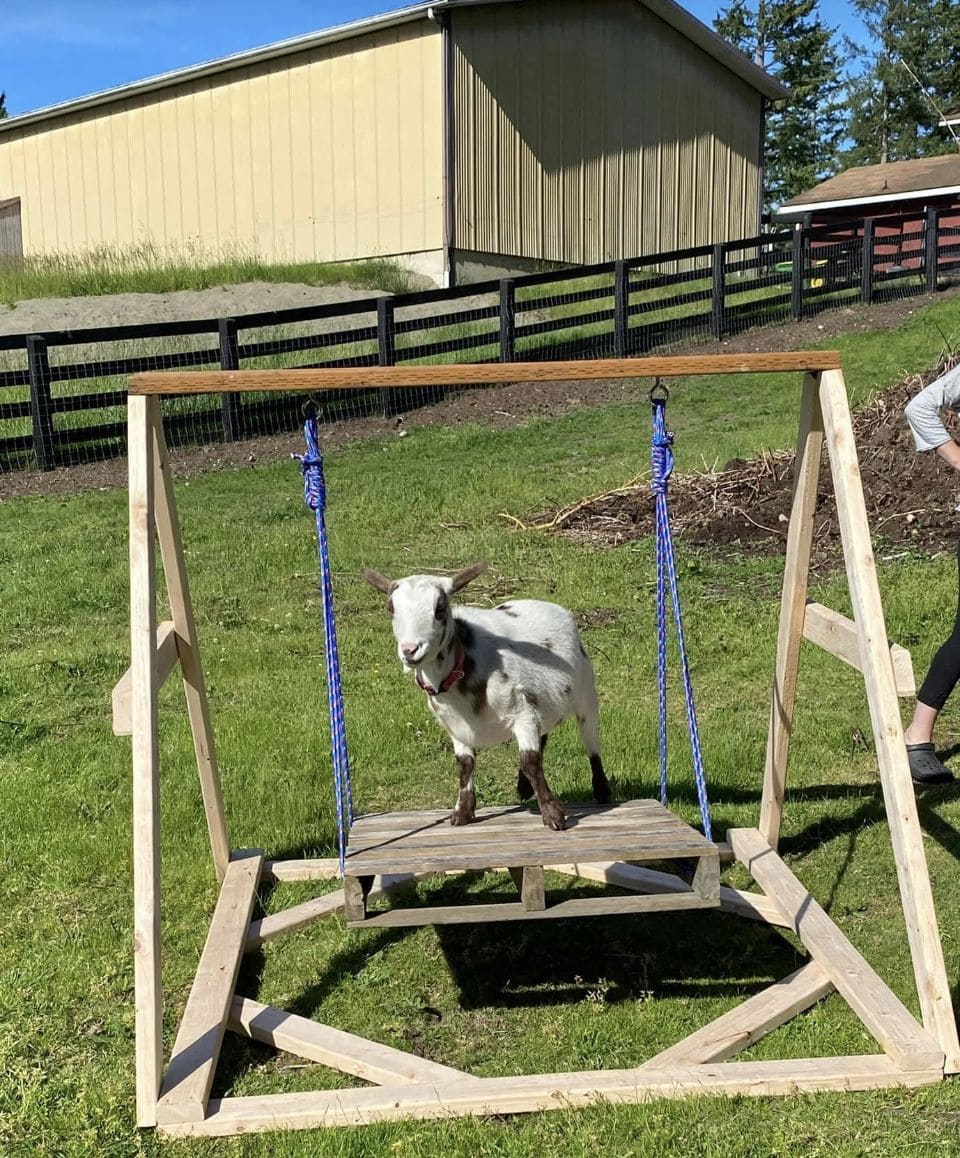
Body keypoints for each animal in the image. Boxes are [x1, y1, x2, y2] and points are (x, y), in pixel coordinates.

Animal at [361, 561, 610, 830]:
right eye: (391, 609)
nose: (410, 650)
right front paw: (462, 812)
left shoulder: (522, 712)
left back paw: (602, 791)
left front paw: (553, 815)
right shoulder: (455, 726)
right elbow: (465, 765)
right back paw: (523, 788)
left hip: (586, 695)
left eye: (440, 608)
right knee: (543, 736)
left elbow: (530, 761)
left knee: (591, 741)